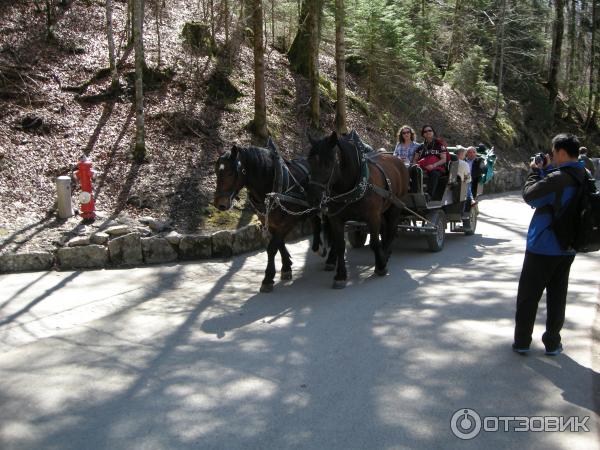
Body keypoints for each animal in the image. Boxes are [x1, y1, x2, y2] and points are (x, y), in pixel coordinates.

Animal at [212, 139, 332, 292]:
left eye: (230, 172)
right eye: (217, 171)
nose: (220, 204)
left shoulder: (288, 221)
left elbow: (272, 247)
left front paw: (268, 278)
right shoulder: (268, 222)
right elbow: (279, 244)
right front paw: (286, 267)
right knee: (316, 222)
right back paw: (318, 247)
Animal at [308, 130, 410, 288]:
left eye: (328, 163)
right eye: (309, 162)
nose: (313, 198)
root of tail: (397, 159)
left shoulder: (373, 217)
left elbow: (374, 242)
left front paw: (380, 267)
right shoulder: (335, 218)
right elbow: (340, 245)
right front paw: (340, 275)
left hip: (395, 206)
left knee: (391, 230)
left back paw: (385, 255)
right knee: (385, 230)